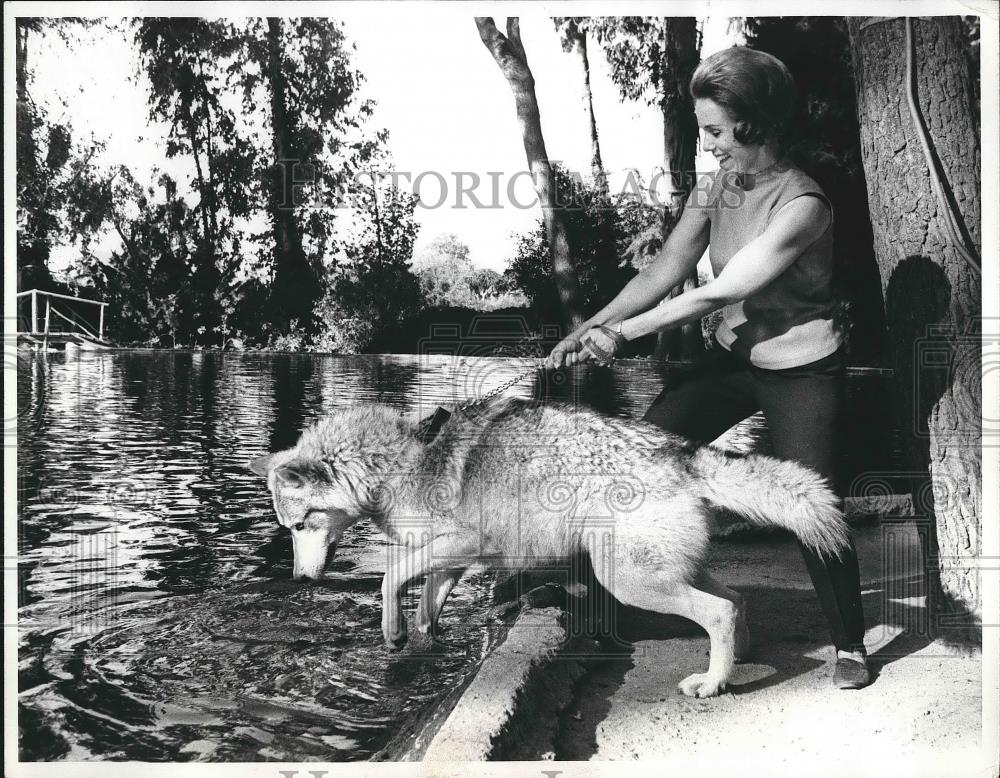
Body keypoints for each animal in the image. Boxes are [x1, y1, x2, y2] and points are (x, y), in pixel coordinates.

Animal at [246, 394, 848, 696]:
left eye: (298, 527)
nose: (301, 580)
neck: (398, 464)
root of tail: (682, 453)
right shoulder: (452, 561)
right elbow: (424, 609)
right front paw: (416, 643)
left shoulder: (462, 544)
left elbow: (390, 576)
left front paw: (391, 633)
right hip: (664, 572)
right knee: (737, 601)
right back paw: (735, 662)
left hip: (630, 581)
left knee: (721, 611)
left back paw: (713, 683)